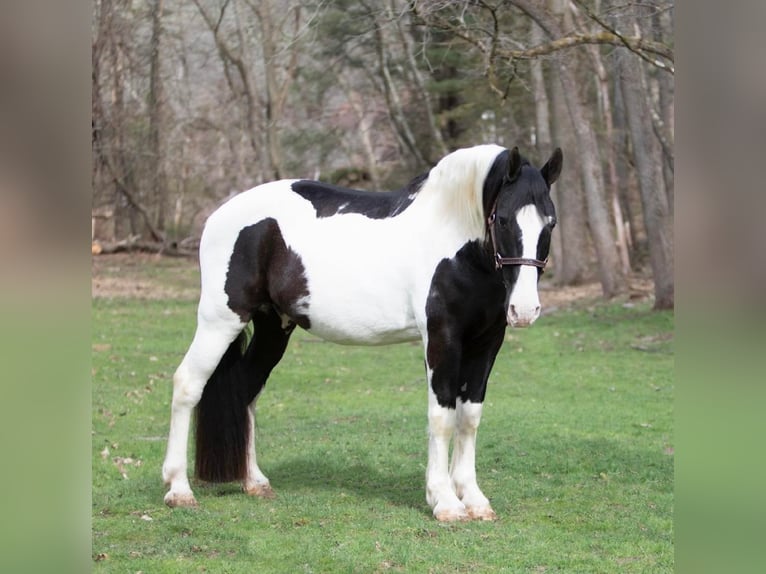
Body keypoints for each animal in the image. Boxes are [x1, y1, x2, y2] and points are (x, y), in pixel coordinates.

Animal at [160, 144, 564, 520]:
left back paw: (254, 482)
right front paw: (445, 501)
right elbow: (442, 417)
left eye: (551, 223)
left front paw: (474, 499)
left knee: (246, 392)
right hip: (221, 319)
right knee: (187, 385)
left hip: (274, 326)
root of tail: (219, 215)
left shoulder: (486, 343)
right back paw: (179, 489)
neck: (456, 242)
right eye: (504, 219)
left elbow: (469, 418)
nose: (525, 310)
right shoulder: (442, 338)